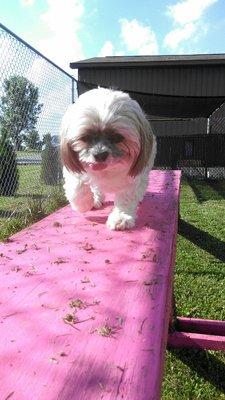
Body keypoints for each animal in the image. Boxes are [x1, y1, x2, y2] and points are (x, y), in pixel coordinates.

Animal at [59, 87, 156, 231]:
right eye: (85, 137)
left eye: (118, 137)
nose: (100, 154)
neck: (107, 171)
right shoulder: (74, 172)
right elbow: (78, 188)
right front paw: (84, 204)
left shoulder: (134, 180)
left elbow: (126, 199)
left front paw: (121, 217)